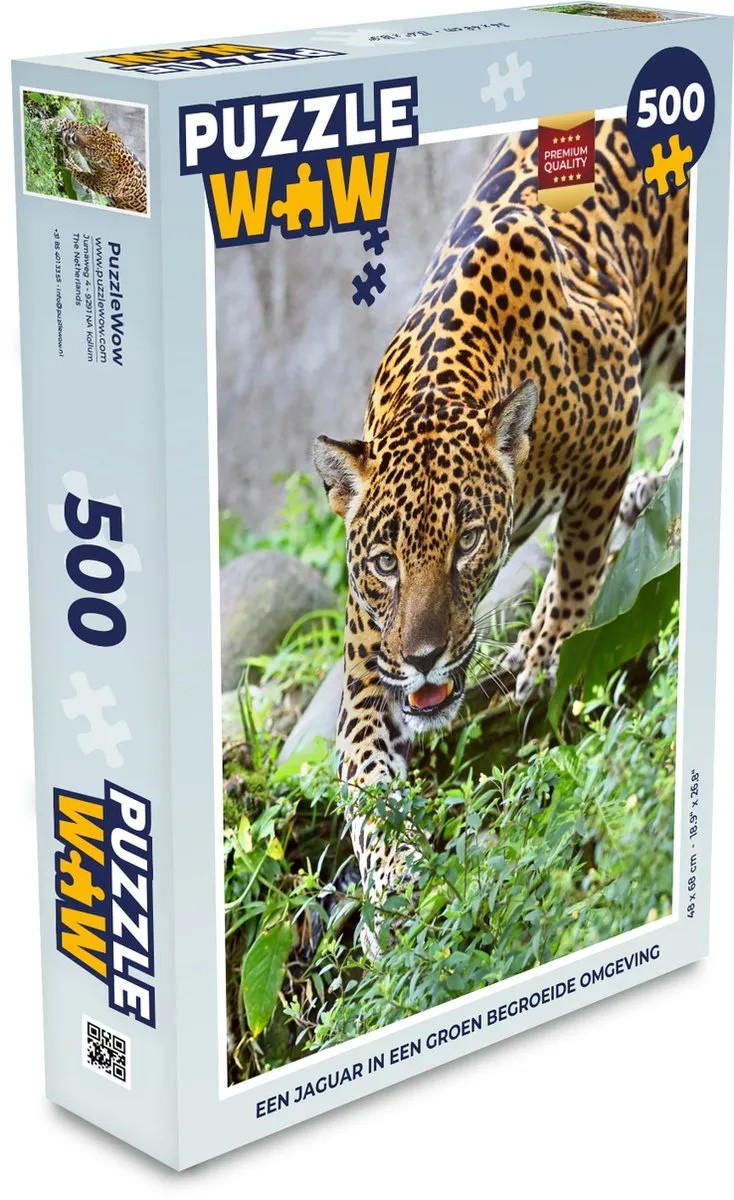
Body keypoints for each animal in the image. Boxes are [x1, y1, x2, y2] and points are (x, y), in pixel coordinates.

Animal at [313, 118, 687, 952]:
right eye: (384, 561)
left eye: (466, 543)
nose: (423, 660)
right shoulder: (366, 657)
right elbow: (363, 773)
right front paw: (393, 889)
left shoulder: (613, 419)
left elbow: (578, 555)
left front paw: (545, 653)